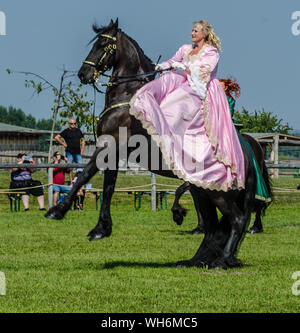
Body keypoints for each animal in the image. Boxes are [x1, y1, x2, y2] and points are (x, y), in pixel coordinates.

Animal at [45, 18, 270, 268]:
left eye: (103, 44)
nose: (84, 73)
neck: (127, 97)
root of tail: (246, 154)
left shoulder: (109, 146)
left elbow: (84, 175)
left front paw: (58, 210)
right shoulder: (114, 153)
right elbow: (108, 186)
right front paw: (101, 229)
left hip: (218, 194)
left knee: (237, 220)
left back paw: (222, 259)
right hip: (202, 191)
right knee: (213, 227)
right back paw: (195, 259)